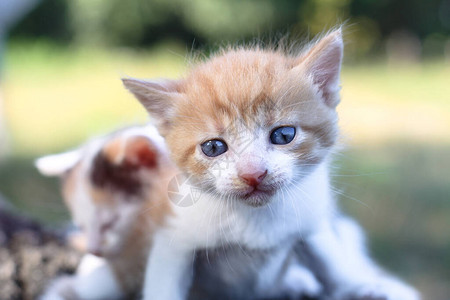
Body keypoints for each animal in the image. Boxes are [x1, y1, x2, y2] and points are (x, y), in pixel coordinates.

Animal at [124, 28, 422, 300]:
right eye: (213, 147)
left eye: (284, 135)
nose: (253, 173)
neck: (256, 220)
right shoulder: (172, 238)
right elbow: (164, 286)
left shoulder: (313, 218)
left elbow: (332, 261)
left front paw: (365, 286)